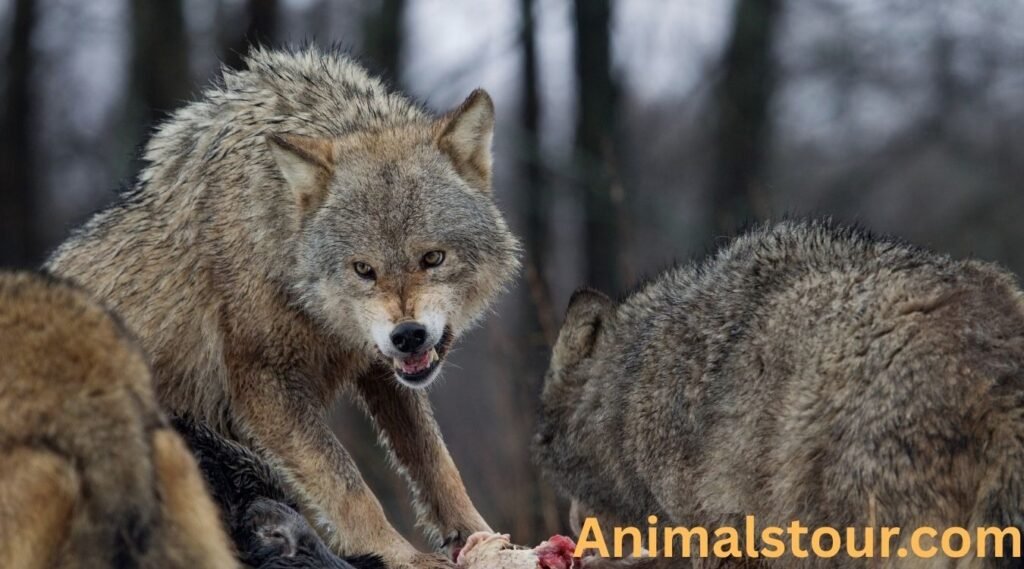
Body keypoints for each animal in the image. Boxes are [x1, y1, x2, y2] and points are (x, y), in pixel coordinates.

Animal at [46, 46, 521, 568]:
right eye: (363, 270)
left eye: (432, 258)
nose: (408, 335)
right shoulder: (263, 386)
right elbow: (349, 486)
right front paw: (401, 555)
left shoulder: (382, 369)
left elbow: (436, 462)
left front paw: (482, 536)